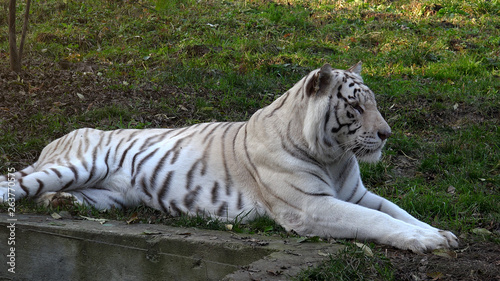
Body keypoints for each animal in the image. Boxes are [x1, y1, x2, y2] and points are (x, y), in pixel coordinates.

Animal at [1, 63, 458, 252]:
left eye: (374, 104)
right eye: (357, 107)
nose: (386, 134)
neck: (334, 156)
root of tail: (58, 137)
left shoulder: (357, 194)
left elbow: (398, 212)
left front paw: (441, 233)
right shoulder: (311, 207)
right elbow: (377, 221)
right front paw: (428, 241)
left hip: (109, 196)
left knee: (55, 195)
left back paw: (62, 202)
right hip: (79, 165)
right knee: (17, 184)